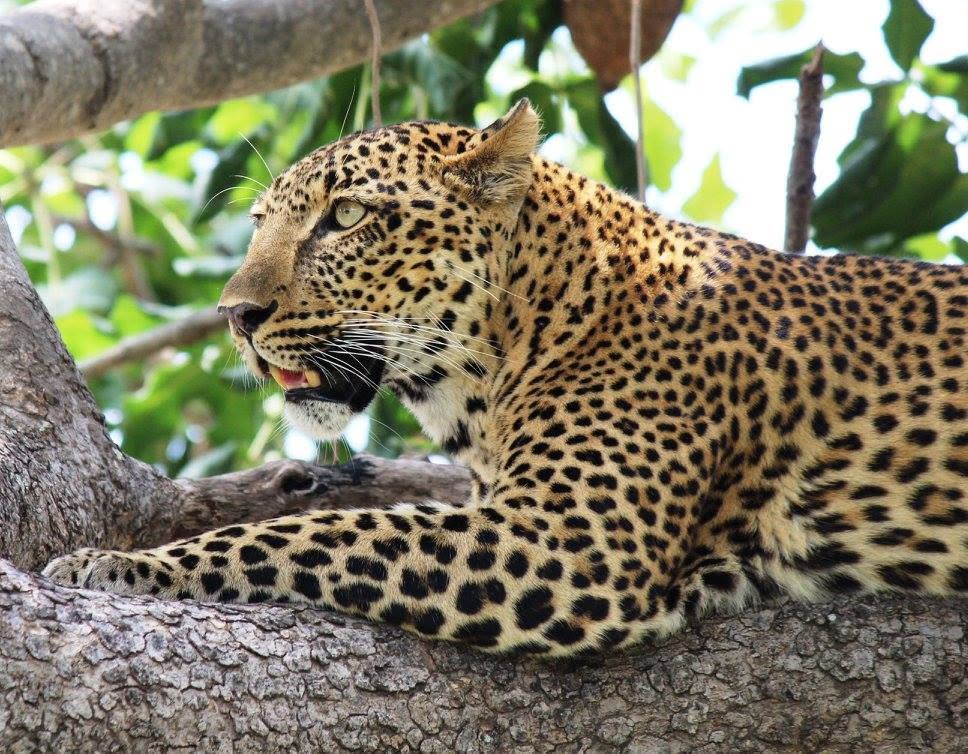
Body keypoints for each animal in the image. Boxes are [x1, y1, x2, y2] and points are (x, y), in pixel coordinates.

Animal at [44, 100, 968, 657]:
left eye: (346, 217)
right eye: (261, 224)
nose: (237, 314)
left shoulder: (575, 542)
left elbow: (317, 533)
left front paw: (112, 567)